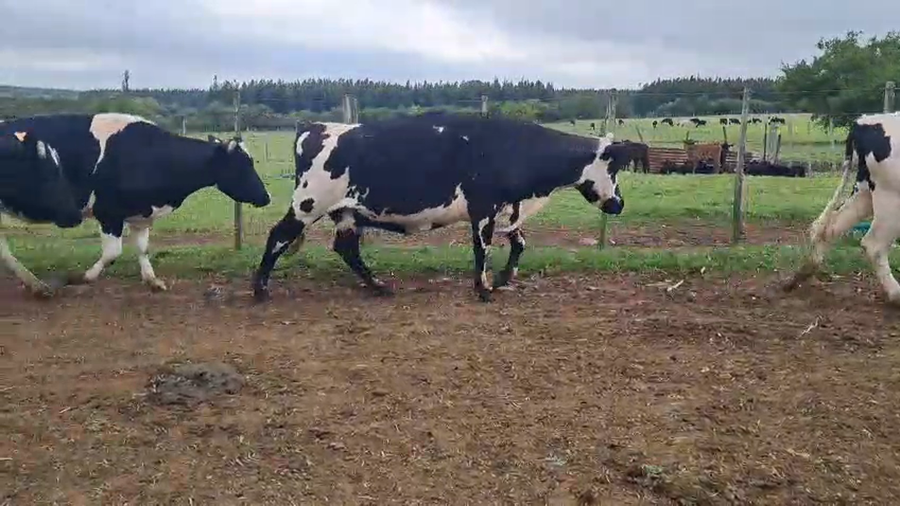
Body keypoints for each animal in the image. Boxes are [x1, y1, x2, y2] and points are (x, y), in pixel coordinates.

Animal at [252, 112, 629, 303]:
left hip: (345, 212)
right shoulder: (483, 209)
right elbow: (481, 249)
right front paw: (483, 289)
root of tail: (314, 127)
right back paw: (260, 290)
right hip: (308, 204)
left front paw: (503, 280)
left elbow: (519, 243)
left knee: (347, 248)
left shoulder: (508, 207)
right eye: (612, 169)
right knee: (278, 236)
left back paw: (378, 287)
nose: (619, 203)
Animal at [783, 112, 899, 305]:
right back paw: (896, 294)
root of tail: (863, 122)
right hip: (890, 196)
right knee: (874, 244)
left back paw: (804, 272)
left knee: (830, 226)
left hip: (865, 191)